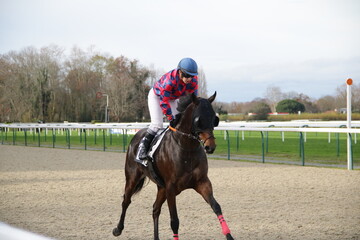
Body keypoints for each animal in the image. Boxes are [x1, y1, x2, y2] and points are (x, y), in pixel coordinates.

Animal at [113, 92, 236, 240]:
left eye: (214, 119)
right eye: (198, 120)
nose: (210, 147)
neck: (187, 148)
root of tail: (135, 137)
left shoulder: (202, 182)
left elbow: (216, 207)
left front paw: (229, 235)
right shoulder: (171, 188)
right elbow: (174, 221)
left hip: (161, 187)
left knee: (155, 209)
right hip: (132, 177)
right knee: (126, 201)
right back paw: (118, 229)